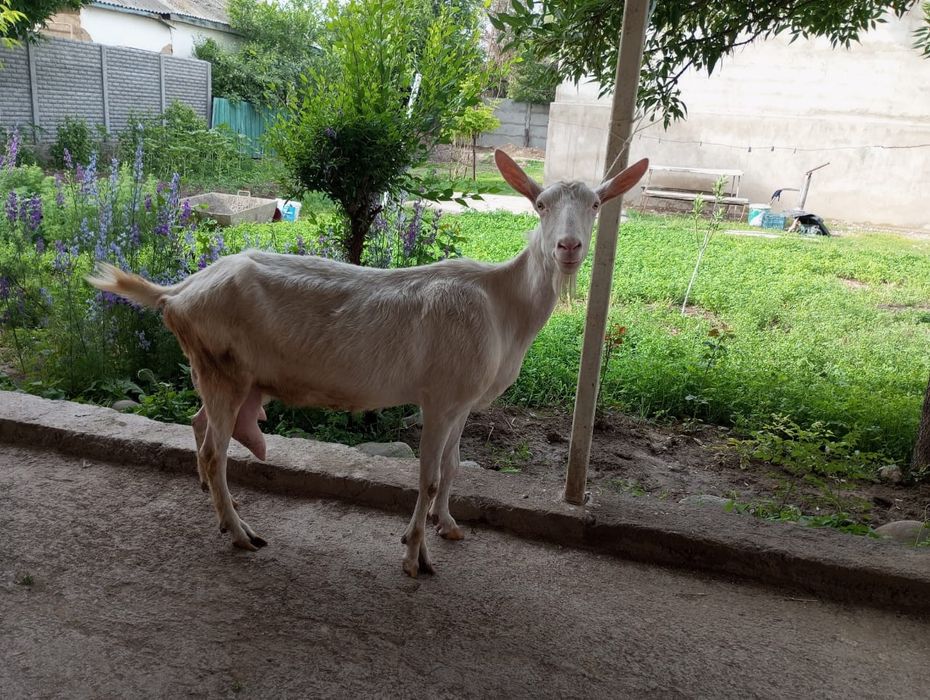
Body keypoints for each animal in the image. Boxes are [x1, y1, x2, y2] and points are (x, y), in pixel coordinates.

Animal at [86, 150, 648, 577]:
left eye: (596, 203)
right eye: (540, 204)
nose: (569, 247)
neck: (502, 303)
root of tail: (176, 293)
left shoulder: (463, 400)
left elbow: (451, 467)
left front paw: (449, 526)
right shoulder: (439, 398)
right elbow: (427, 476)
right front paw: (415, 558)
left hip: (223, 374)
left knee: (200, 424)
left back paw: (227, 515)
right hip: (220, 369)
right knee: (213, 452)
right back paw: (244, 536)